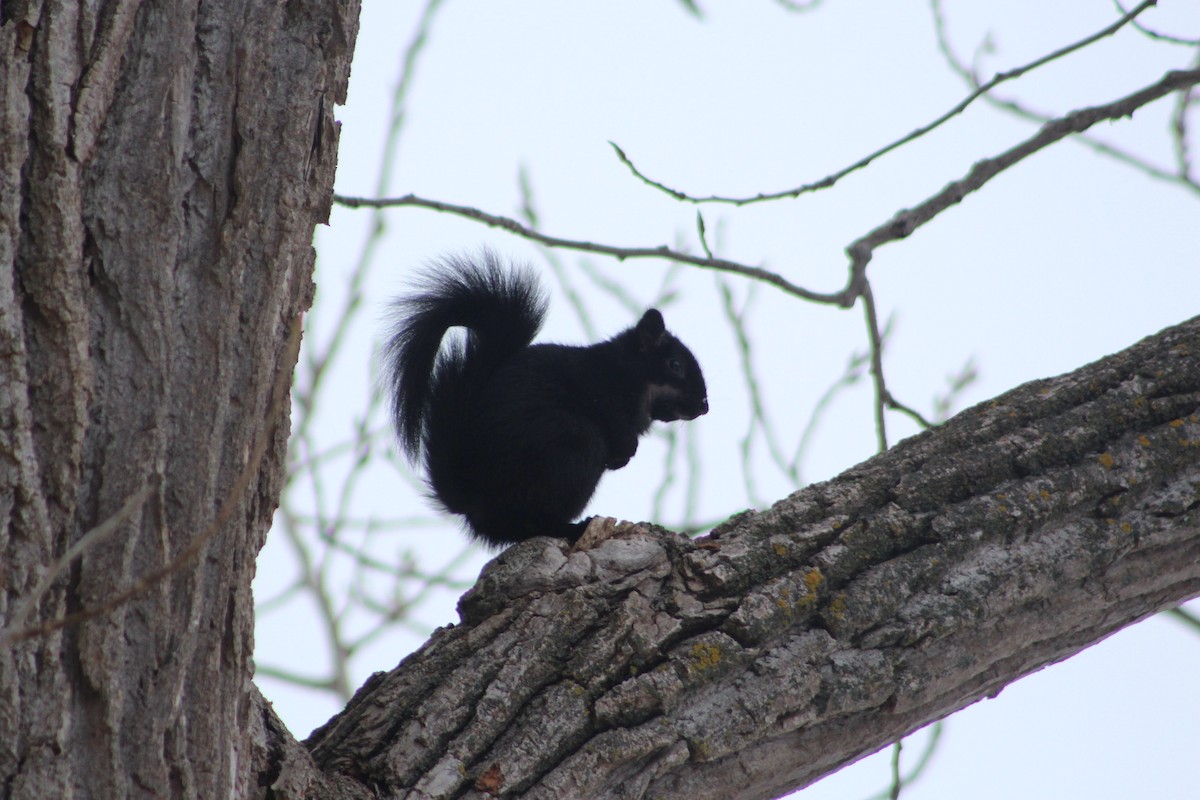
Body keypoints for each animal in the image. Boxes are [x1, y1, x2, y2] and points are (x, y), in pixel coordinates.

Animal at [383, 252, 709, 549]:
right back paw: (572, 527)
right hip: (569, 448)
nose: (704, 405)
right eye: (675, 365)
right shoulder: (599, 390)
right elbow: (614, 424)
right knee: (531, 518)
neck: (626, 373)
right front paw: (624, 453)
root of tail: (474, 499)